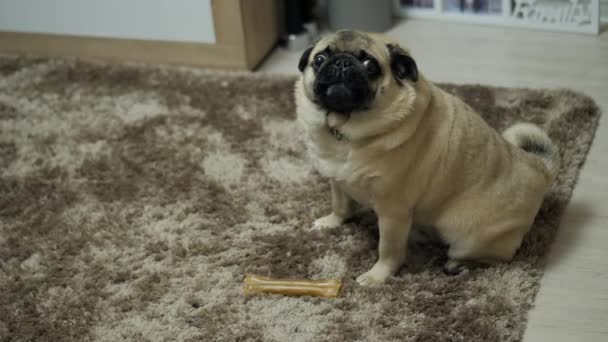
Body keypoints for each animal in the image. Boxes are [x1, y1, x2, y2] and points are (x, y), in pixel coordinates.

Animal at [294, 30, 560, 286]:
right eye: (319, 59)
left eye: (370, 65)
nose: (342, 63)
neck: (344, 132)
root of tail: (540, 169)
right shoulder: (336, 181)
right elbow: (340, 206)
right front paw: (331, 222)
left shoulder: (393, 212)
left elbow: (388, 250)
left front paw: (377, 276)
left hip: (468, 240)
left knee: (497, 259)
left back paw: (457, 264)